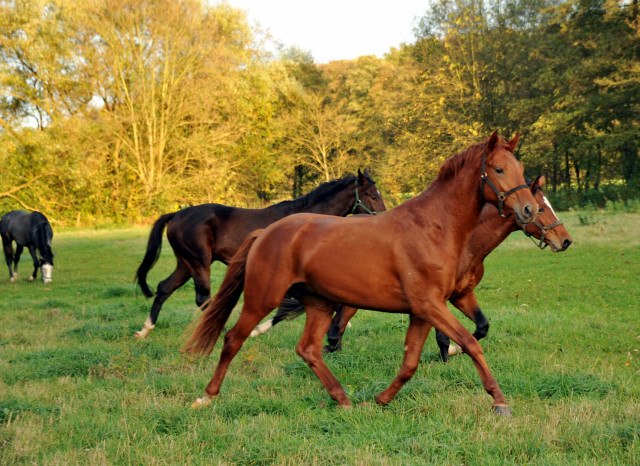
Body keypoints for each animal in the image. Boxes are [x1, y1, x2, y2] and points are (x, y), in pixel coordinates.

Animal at [134, 169, 384, 336]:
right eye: (373, 195)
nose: (383, 219)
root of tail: (176, 215)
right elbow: (287, 307)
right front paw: (257, 330)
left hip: (186, 264)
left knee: (164, 288)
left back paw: (145, 330)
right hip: (199, 263)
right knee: (203, 299)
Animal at [184, 131, 536, 416]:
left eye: (521, 170)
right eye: (499, 169)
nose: (528, 210)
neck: (434, 227)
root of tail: (265, 232)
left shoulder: (423, 311)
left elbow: (410, 363)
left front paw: (381, 399)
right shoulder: (430, 306)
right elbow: (470, 342)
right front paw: (499, 401)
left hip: (320, 304)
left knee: (308, 349)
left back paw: (343, 399)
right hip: (262, 298)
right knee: (233, 339)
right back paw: (206, 397)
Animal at [322, 175, 572, 356]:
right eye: (540, 208)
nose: (565, 240)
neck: (468, 242)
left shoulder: (463, 294)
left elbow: (481, 327)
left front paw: (452, 350)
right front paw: (448, 350)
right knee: (337, 323)